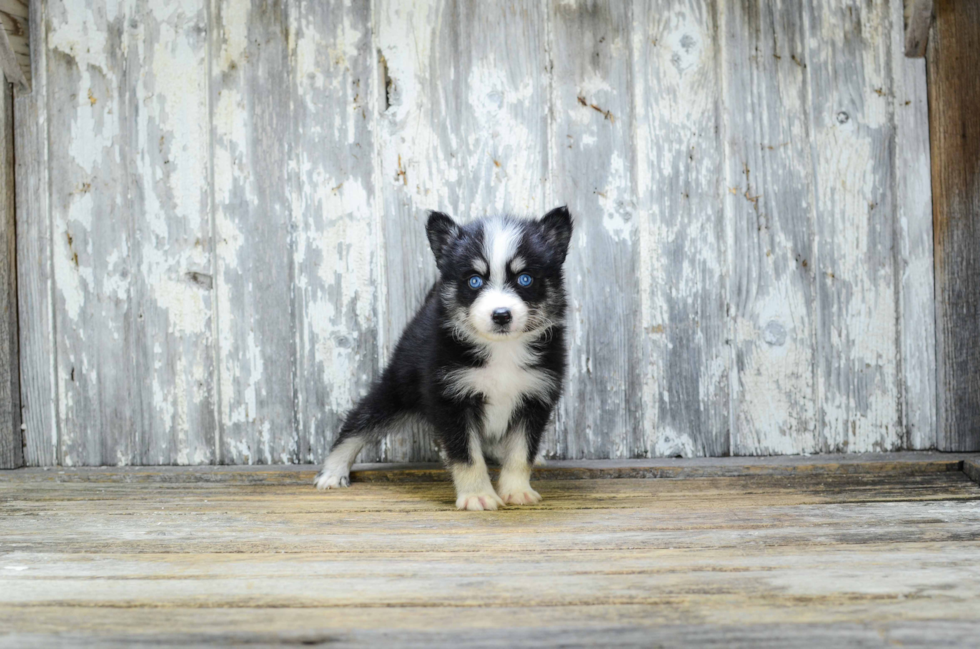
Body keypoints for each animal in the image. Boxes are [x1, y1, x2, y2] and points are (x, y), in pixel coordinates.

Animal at [314, 205, 576, 508]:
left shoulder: (536, 396)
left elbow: (521, 451)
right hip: (399, 386)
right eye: (474, 280)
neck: (501, 349)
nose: (501, 315)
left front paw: (516, 490)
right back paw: (333, 470)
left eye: (525, 279)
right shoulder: (450, 397)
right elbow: (466, 454)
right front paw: (477, 496)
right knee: (359, 421)